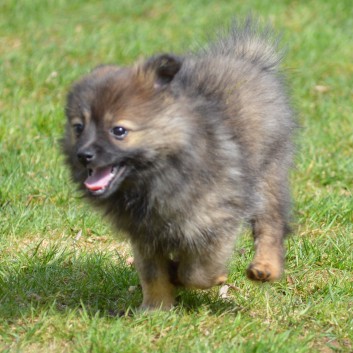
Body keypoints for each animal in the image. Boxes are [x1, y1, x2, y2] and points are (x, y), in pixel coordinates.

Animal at [62, 19, 294, 310]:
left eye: (119, 131)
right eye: (78, 128)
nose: (83, 155)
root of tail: (246, 58)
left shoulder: (216, 221)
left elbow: (196, 271)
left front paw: (193, 277)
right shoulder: (144, 234)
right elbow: (152, 273)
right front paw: (156, 308)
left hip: (267, 177)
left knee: (270, 223)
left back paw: (266, 266)